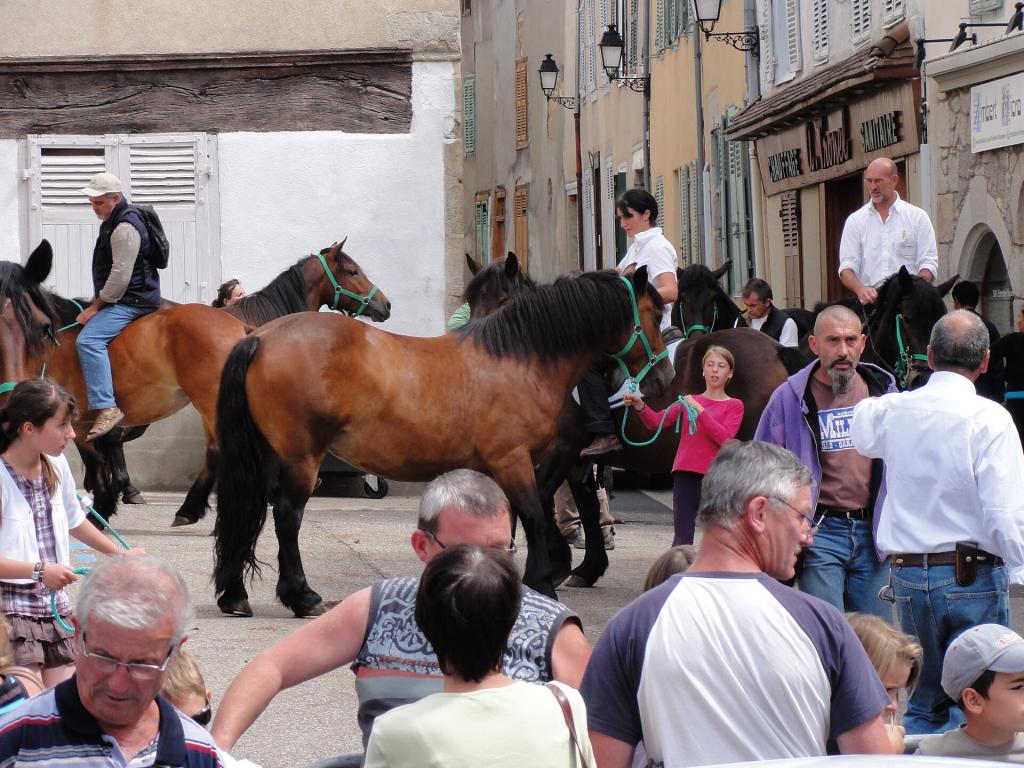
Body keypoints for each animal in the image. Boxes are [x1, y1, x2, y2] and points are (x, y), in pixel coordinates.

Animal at [212, 268, 673, 616]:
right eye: (653, 312)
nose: (662, 378)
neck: (520, 358)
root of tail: (260, 337)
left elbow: (508, 522)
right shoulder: (514, 460)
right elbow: (533, 516)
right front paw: (542, 582)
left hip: (269, 455)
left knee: (250, 510)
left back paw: (234, 594)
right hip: (301, 457)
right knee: (287, 516)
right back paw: (302, 596)